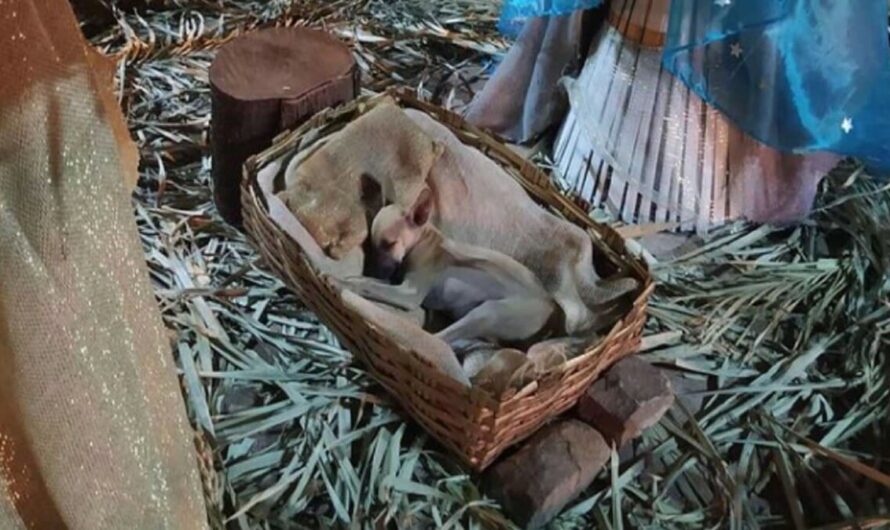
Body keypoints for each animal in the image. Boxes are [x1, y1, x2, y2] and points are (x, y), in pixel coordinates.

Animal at [336, 188, 560, 344]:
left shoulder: (409, 293)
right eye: (371, 244)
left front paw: (345, 284)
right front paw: (354, 278)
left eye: (389, 244)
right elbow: (372, 282)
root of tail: (550, 306)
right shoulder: (396, 282)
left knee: (439, 340)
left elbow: (371, 286)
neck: (422, 241)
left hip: (488, 313)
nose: (372, 270)